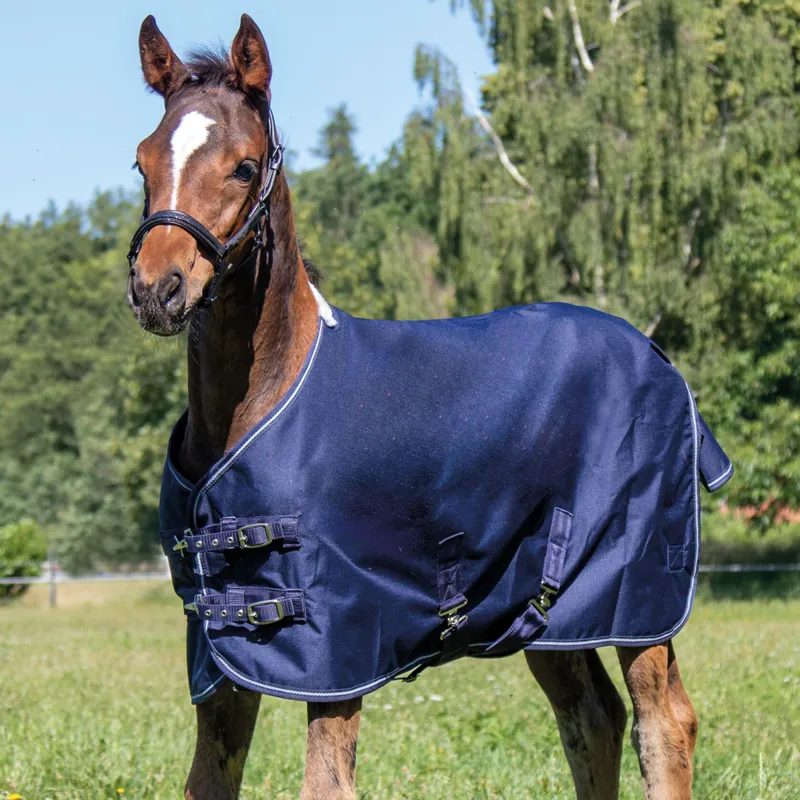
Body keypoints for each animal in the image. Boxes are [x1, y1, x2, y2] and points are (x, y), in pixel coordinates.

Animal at [127, 14, 705, 799]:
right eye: (142, 162)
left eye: (244, 167)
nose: (157, 288)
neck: (252, 408)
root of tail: (658, 357)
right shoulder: (220, 651)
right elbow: (208, 781)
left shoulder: (338, 650)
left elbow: (326, 784)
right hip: (549, 614)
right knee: (593, 720)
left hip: (637, 598)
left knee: (661, 726)